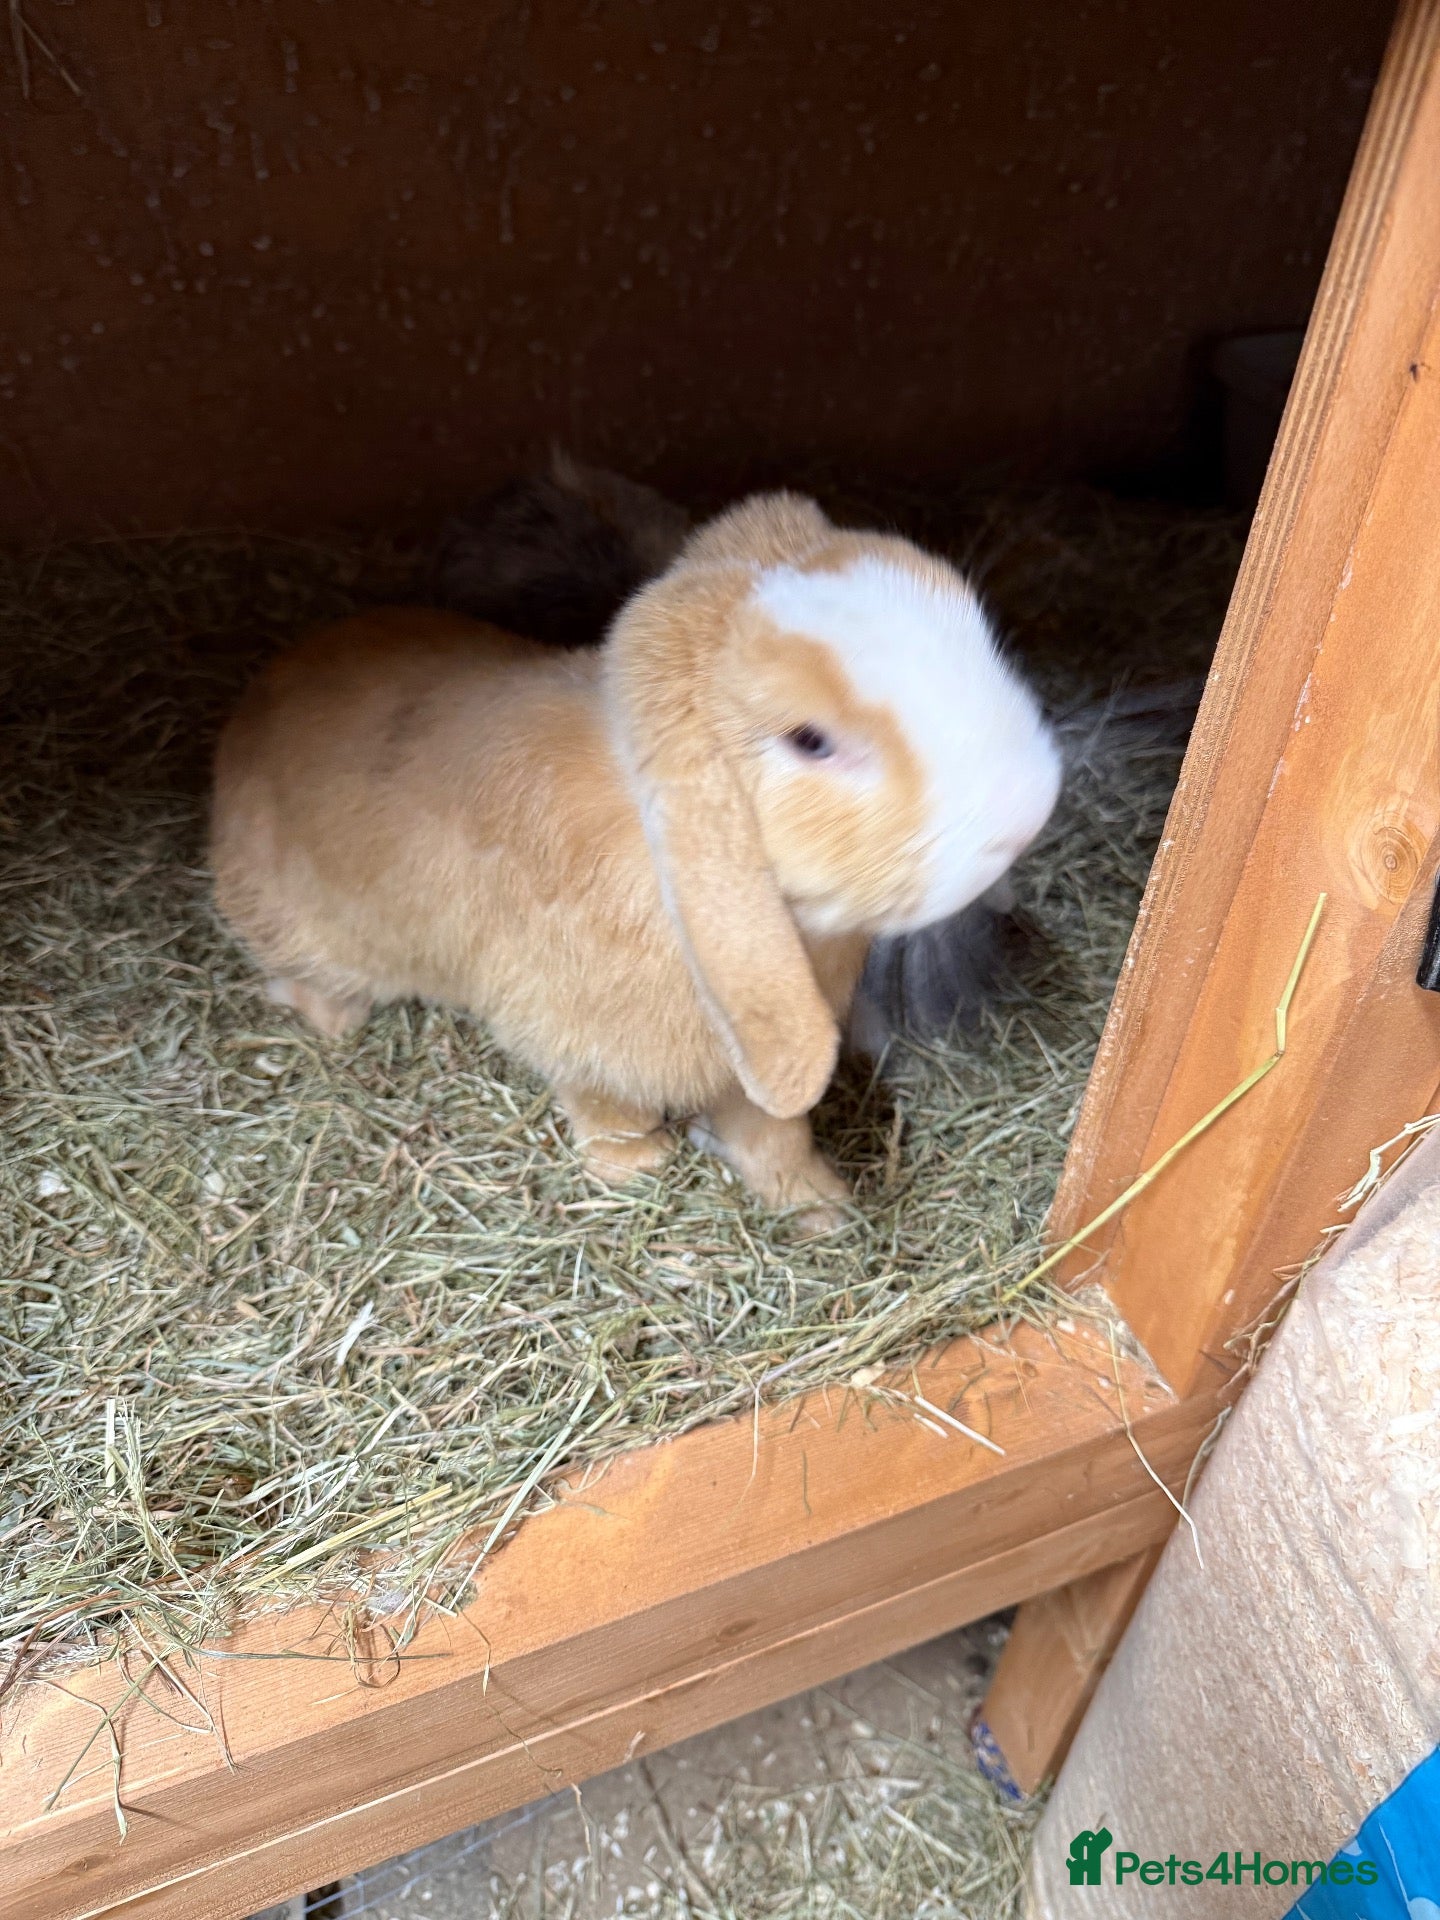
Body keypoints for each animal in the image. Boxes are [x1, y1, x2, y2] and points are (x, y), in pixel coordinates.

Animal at [212, 491, 1061, 1229]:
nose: (1029, 807)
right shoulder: (578, 1044)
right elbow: (603, 1106)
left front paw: (822, 1208)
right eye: (810, 741)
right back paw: (333, 1016)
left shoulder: (743, 1066)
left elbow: (772, 1135)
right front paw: (637, 1169)